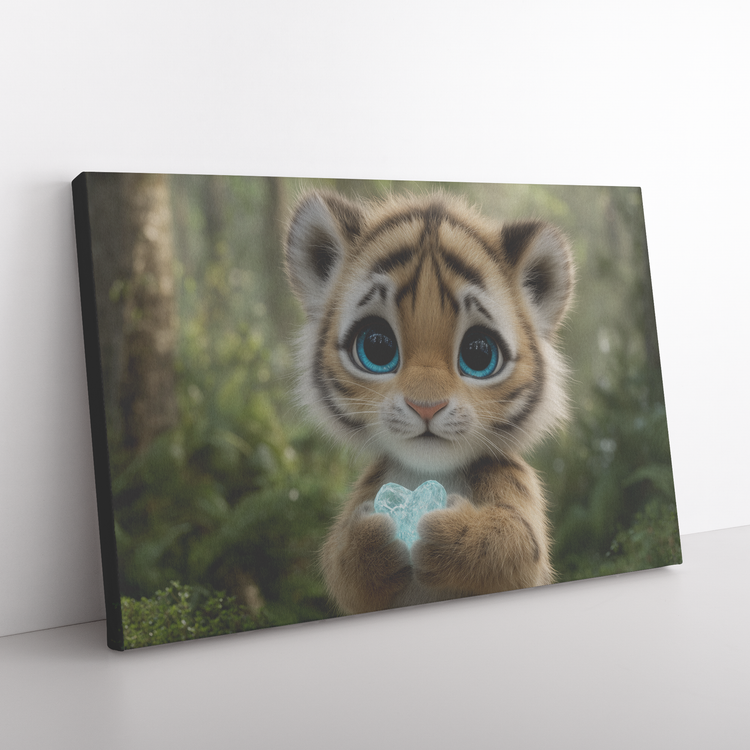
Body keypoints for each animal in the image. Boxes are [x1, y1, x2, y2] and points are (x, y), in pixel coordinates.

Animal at [284, 189, 575, 615]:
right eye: (377, 346)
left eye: (478, 354)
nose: (426, 407)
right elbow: (340, 566)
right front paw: (377, 538)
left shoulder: (516, 494)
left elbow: (513, 541)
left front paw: (444, 533)